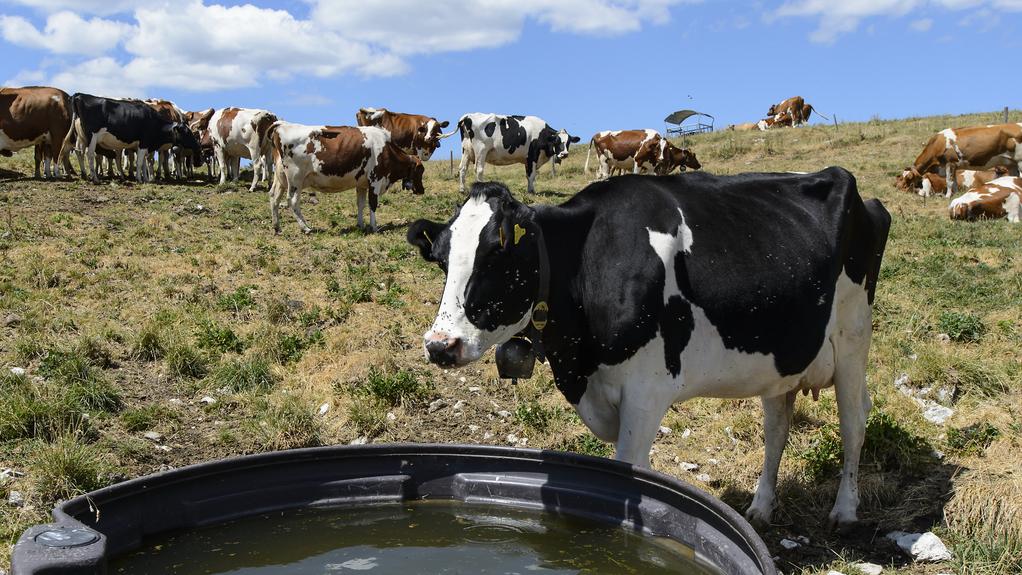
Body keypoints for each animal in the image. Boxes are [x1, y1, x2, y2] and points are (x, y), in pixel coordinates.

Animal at [269, 123, 425, 233]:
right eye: (421, 171)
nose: (422, 190)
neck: (386, 149)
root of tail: (282, 124)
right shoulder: (375, 180)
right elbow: (373, 204)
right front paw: (374, 227)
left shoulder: (362, 184)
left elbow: (361, 204)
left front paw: (360, 225)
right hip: (296, 179)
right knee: (292, 201)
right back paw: (305, 228)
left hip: (280, 179)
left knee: (274, 198)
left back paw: (277, 227)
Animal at [406, 168, 887, 526]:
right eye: (443, 260)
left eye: (497, 255)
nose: (440, 345)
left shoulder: (646, 391)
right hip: (782, 358)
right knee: (777, 428)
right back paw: (761, 507)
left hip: (853, 339)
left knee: (853, 420)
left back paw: (845, 510)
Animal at [451, 113, 580, 195]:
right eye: (557, 141)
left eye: (568, 142)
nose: (564, 154)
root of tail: (467, 116)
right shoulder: (533, 155)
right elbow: (532, 175)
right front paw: (531, 191)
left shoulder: (527, 159)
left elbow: (528, 175)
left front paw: (530, 189)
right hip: (481, 150)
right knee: (479, 169)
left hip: (466, 150)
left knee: (462, 168)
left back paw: (462, 190)